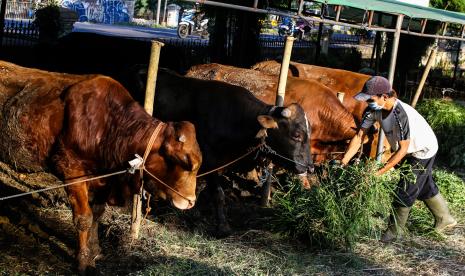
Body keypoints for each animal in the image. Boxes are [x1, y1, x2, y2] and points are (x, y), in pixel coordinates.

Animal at [0, 61, 201, 274]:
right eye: (184, 162)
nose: (191, 201)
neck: (110, 126)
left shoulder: (105, 179)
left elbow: (97, 214)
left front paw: (95, 250)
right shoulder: (72, 172)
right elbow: (84, 219)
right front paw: (82, 261)